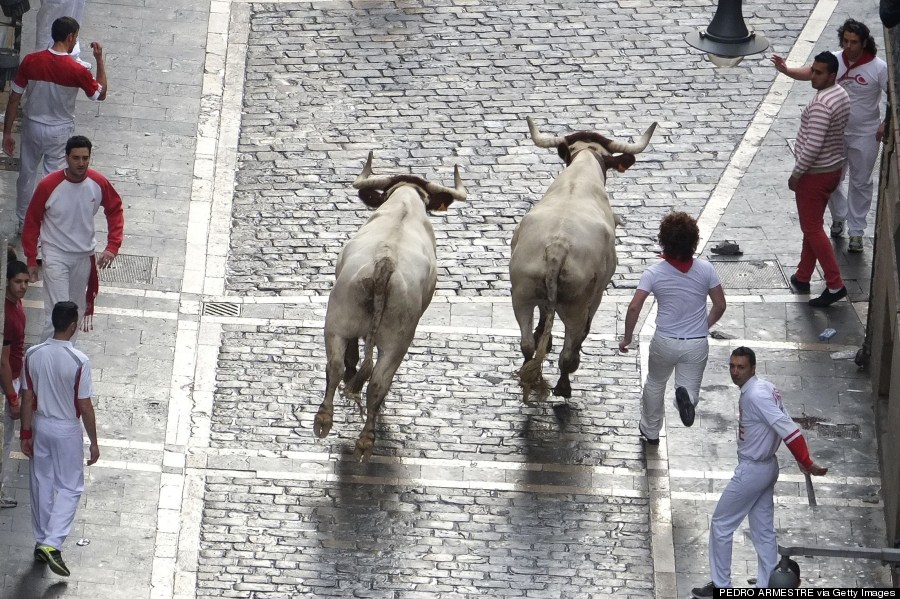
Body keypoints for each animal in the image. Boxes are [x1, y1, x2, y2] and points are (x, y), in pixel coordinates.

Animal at [314, 152, 468, 462]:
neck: (404, 207)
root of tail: (384, 265)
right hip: (397, 340)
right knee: (376, 383)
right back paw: (365, 440)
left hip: (337, 321)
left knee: (337, 366)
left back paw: (325, 420)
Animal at [512, 117, 652, 404]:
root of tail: (557, 247)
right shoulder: (597, 294)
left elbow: (544, 315)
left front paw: (544, 336)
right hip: (577, 303)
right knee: (568, 351)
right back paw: (564, 387)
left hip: (521, 294)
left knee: (527, 344)